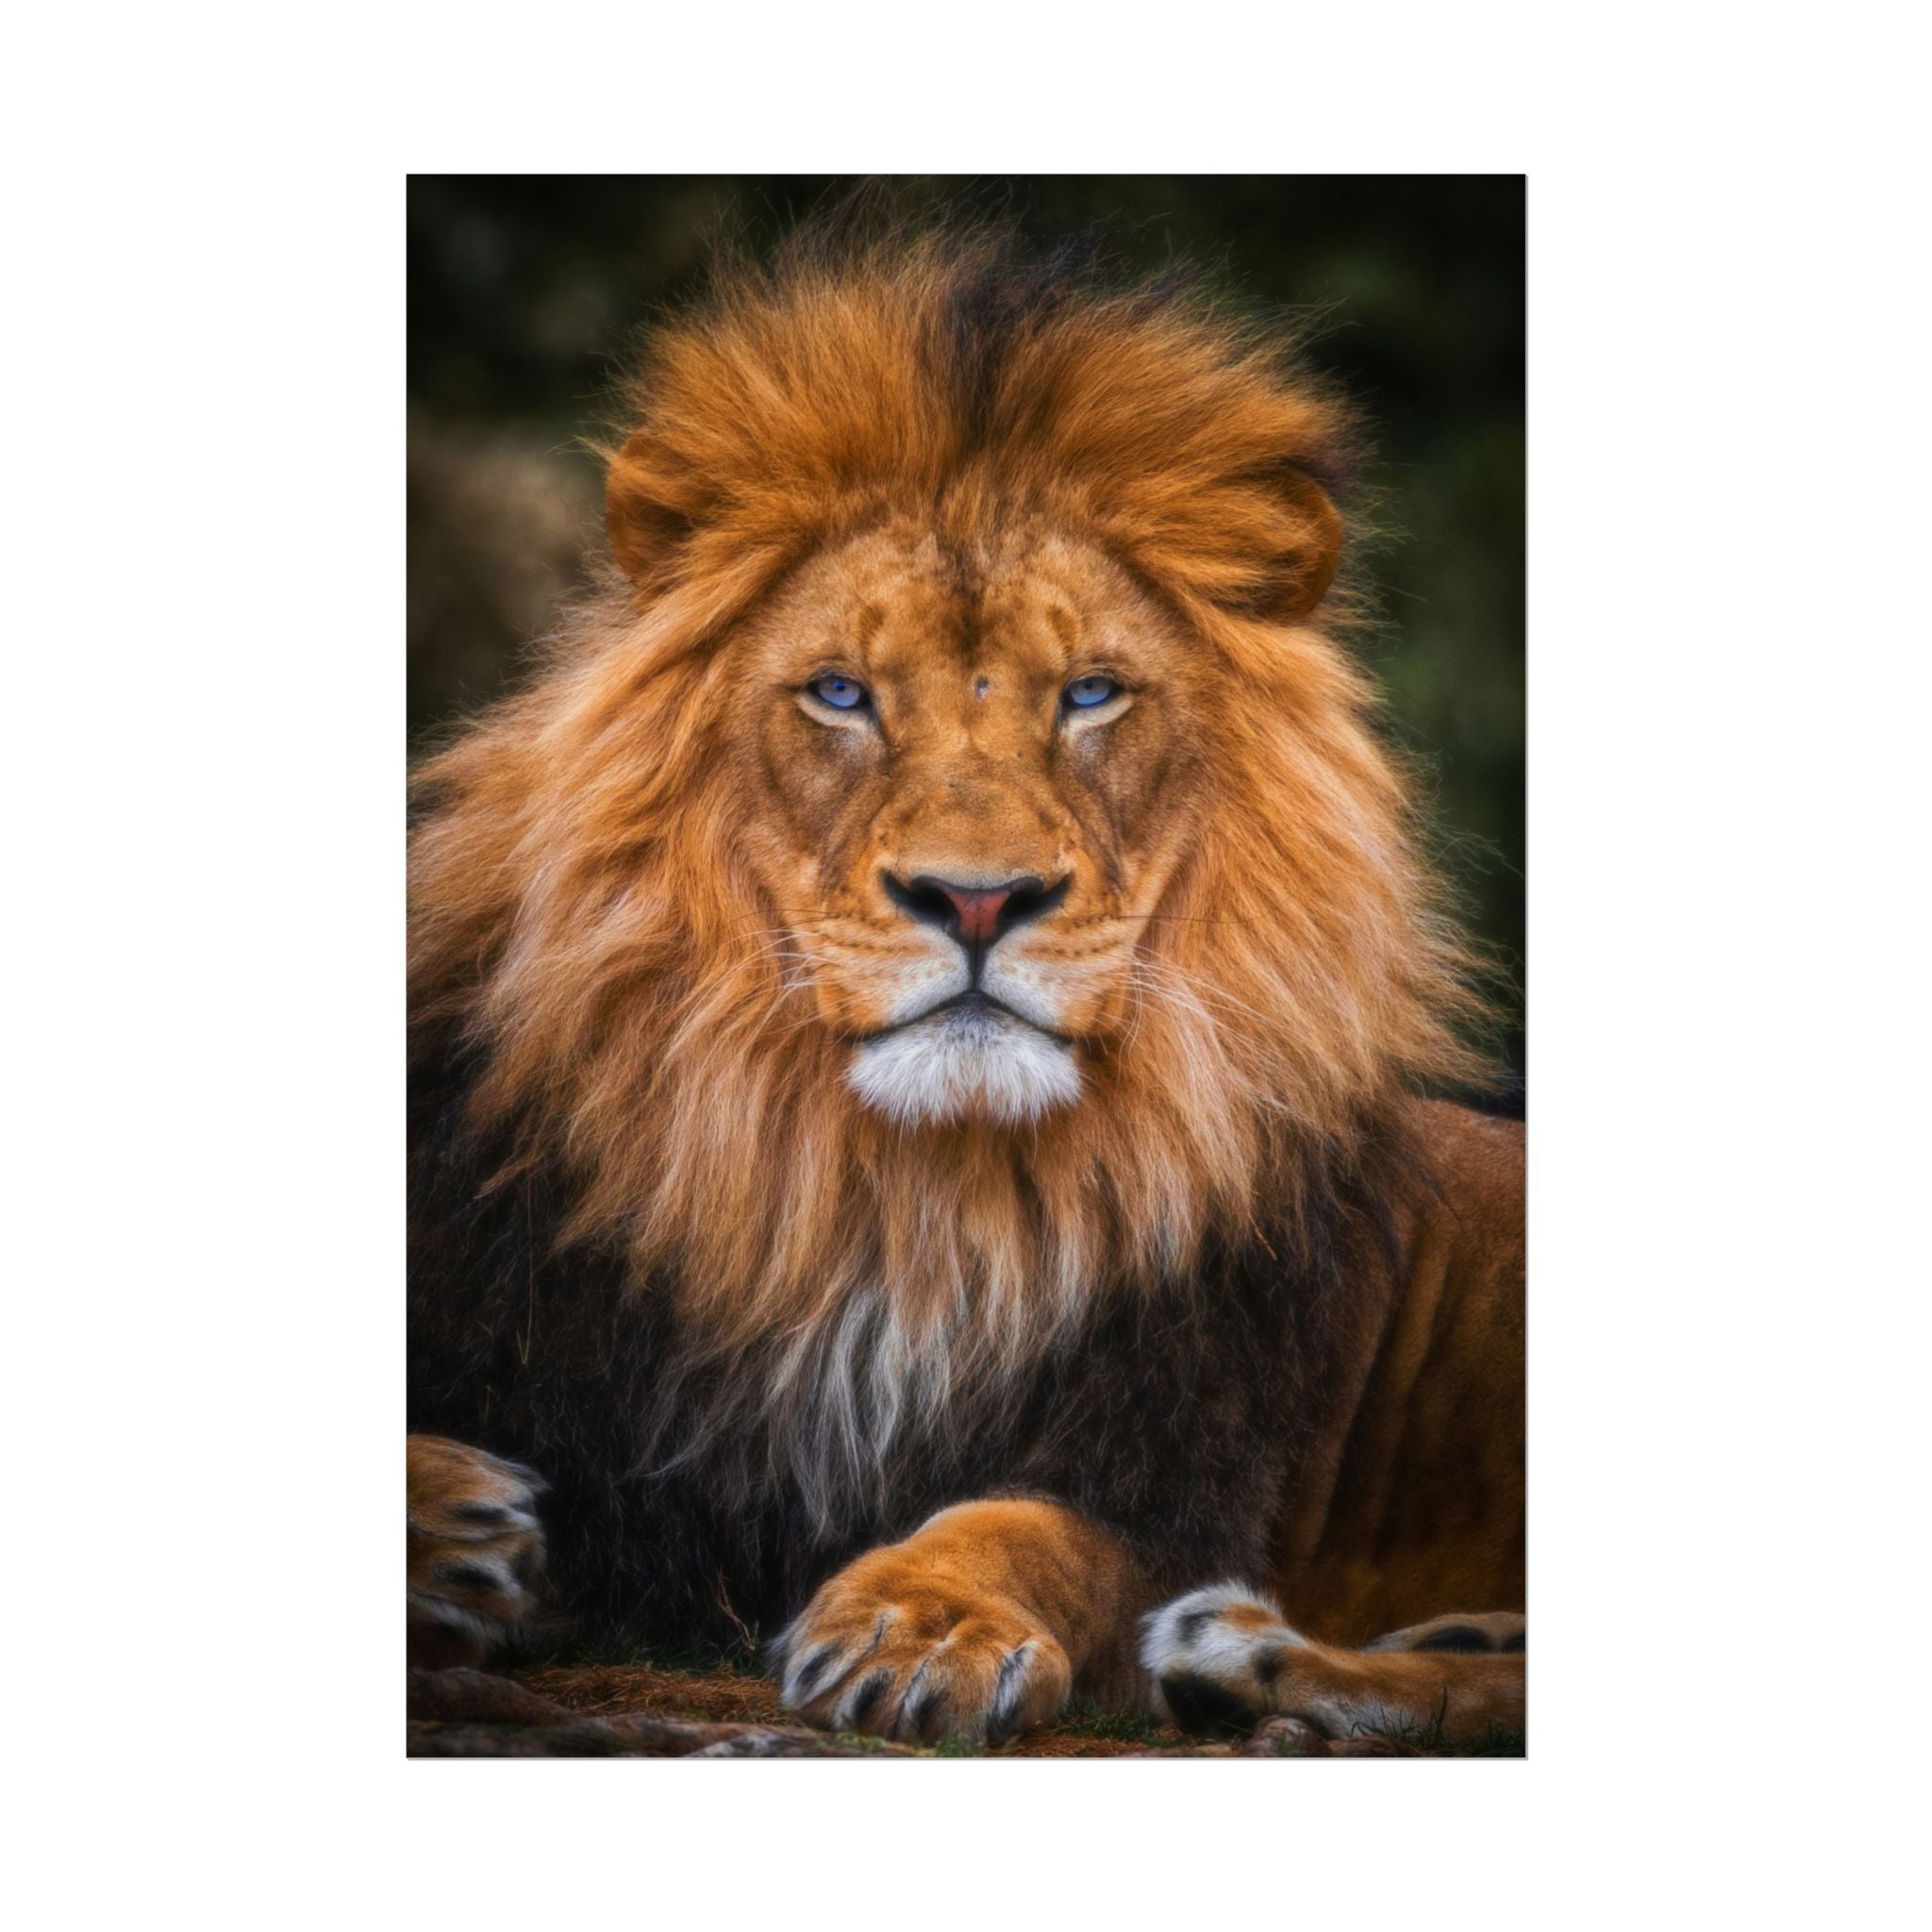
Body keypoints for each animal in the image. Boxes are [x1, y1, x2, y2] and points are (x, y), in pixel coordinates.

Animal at [406, 220, 1525, 1750]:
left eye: (1091, 694)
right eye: (839, 692)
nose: (978, 898)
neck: (896, 1201)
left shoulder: (1176, 1465)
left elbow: (1028, 1528)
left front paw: (920, 1624)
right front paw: (452, 1524)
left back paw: (1251, 1656)